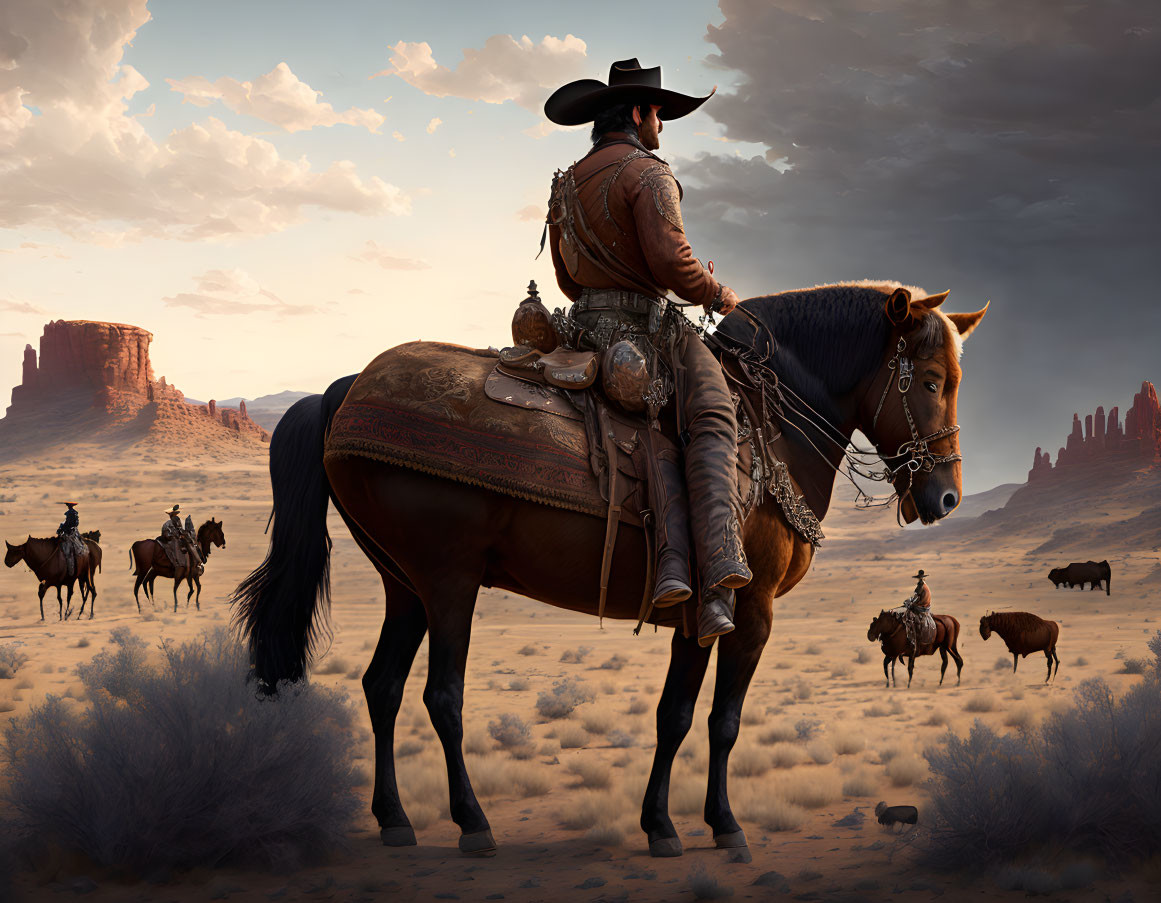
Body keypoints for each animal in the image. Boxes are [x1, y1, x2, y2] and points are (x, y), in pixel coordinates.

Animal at [233, 280, 989, 858]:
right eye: (929, 381)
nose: (945, 497)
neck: (771, 424)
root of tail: (341, 391)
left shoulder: (701, 610)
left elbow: (674, 715)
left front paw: (661, 825)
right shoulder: (752, 609)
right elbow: (723, 720)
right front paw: (726, 825)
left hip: (404, 585)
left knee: (381, 686)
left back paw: (394, 819)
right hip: (448, 581)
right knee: (440, 697)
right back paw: (472, 823)